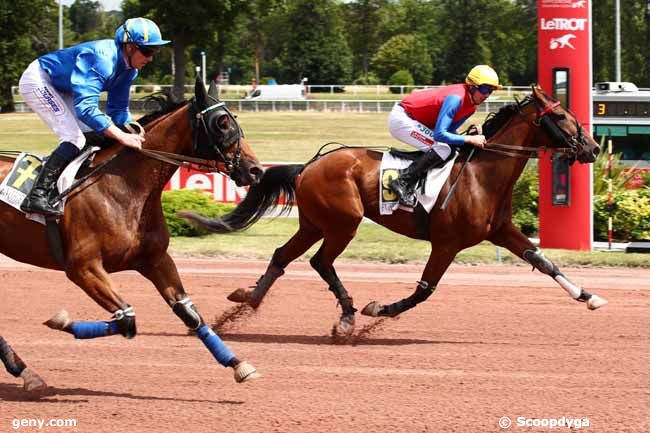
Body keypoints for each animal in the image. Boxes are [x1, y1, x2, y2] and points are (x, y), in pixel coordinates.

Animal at [1, 78, 264, 392]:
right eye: (222, 122)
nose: (256, 170)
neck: (124, 188)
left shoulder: (155, 259)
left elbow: (190, 314)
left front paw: (238, 364)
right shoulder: (83, 268)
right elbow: (128, 320)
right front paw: (61, 321)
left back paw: (24, 371)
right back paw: (24, 370)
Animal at [184, 83, 608, 334]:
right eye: (560, 116)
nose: (592, 148)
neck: (483, 174)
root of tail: (307, 166)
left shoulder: (500, 231)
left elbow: (543, 261)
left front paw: (589, 297)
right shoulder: (447, 243)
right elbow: (424, 290)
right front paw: (378, 311)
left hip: (315, 223)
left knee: (283, 255)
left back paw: (248, 301)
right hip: (343, 222)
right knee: (320, 261)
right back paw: (347, 316)